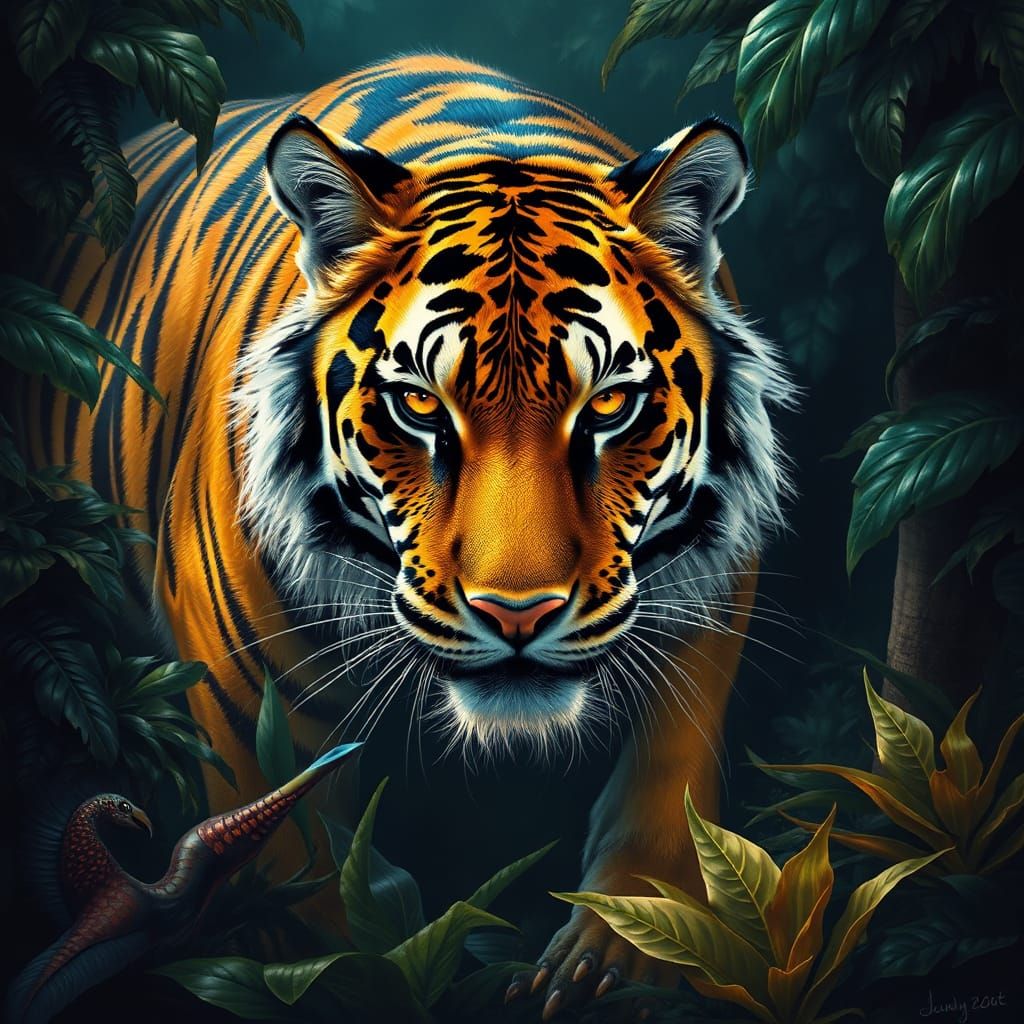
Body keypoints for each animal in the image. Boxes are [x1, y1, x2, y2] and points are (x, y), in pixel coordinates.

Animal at [26, 55, 790, 1016]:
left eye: (610, 402)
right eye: (420, 405)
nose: (516, 615)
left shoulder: (713, 579)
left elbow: (672, 763)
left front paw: (617, 958)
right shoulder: (243, 690)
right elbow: (297, 866)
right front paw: (356, 973)